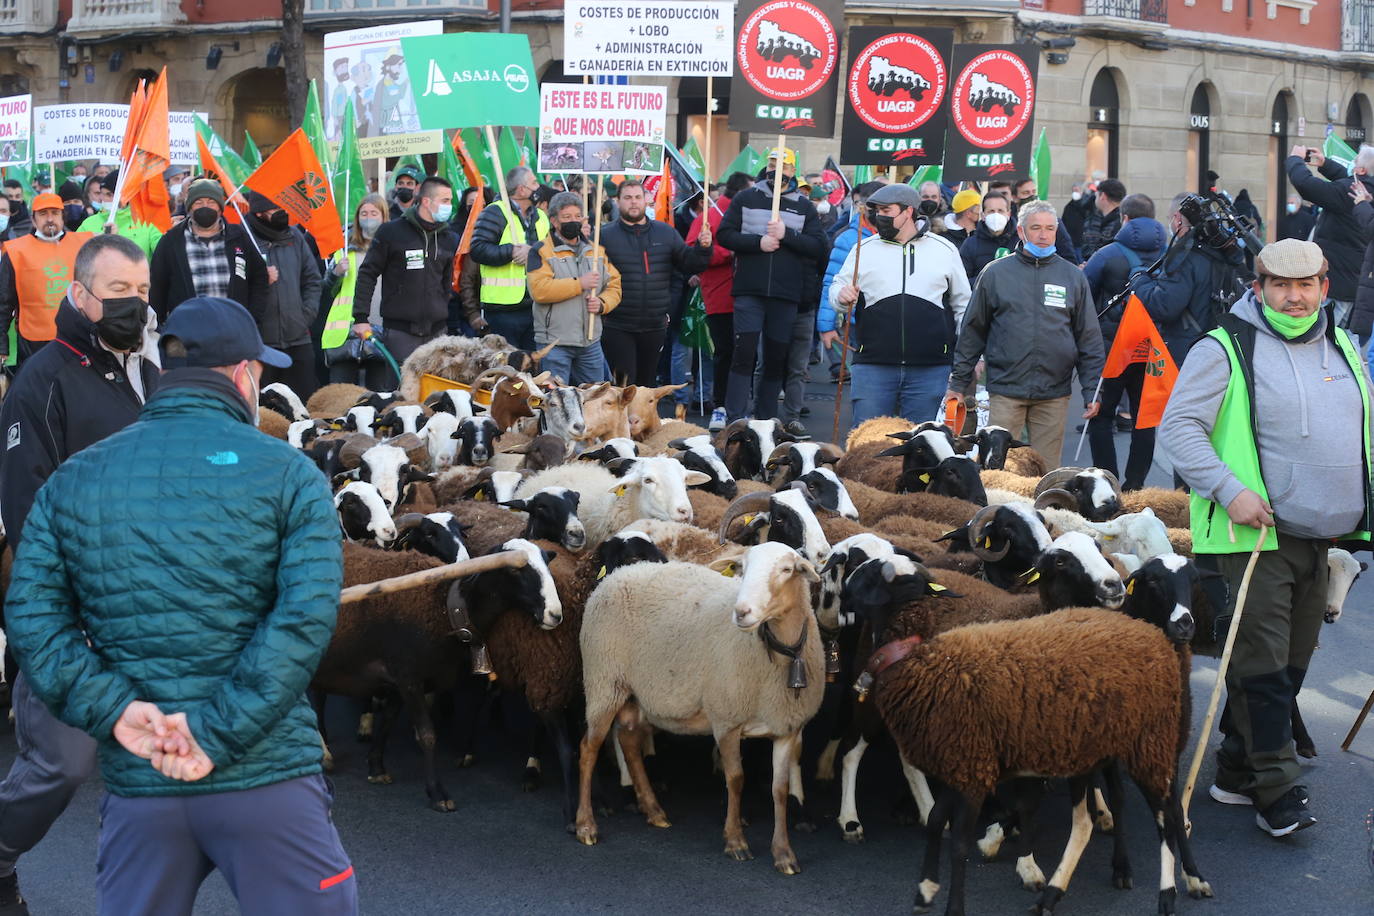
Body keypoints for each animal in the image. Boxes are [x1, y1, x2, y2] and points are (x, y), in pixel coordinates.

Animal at [314, 541, 560, 813]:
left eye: (547, 564)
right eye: (514, 570)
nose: (555, 614)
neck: (446, 608)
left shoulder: (400, 681)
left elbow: (387, 722)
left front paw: (376, 768)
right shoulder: (409, 677)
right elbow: (427, 735)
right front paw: (436, 792)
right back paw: (324, 755)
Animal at [574, 543, 818, 873]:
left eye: (787, 570)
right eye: (742, 568)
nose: (741, 612)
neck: (778, 653)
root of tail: (618, 574)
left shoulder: (785, 727)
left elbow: (779, 790)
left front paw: (784, 854)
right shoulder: (726, 719)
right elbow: (735, 779)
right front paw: (735, 842)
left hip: (634, 691)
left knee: (628, 741)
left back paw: (654, 811)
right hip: (603, 681)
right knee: (589, 748)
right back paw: (586, 825)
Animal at [862, 560, 1209, 916]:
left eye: (1195, 581)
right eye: (1153, 581)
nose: (1185, 625)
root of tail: (1154, 639)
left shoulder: (975, 767)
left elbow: (961, 842)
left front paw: (958, 900)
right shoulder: (963, 766)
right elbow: (935, 821)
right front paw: (927, 889)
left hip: (1147, 744)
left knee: (1164, 814)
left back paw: (1165, 893)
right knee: (1094, 821)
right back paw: (1053, 893)